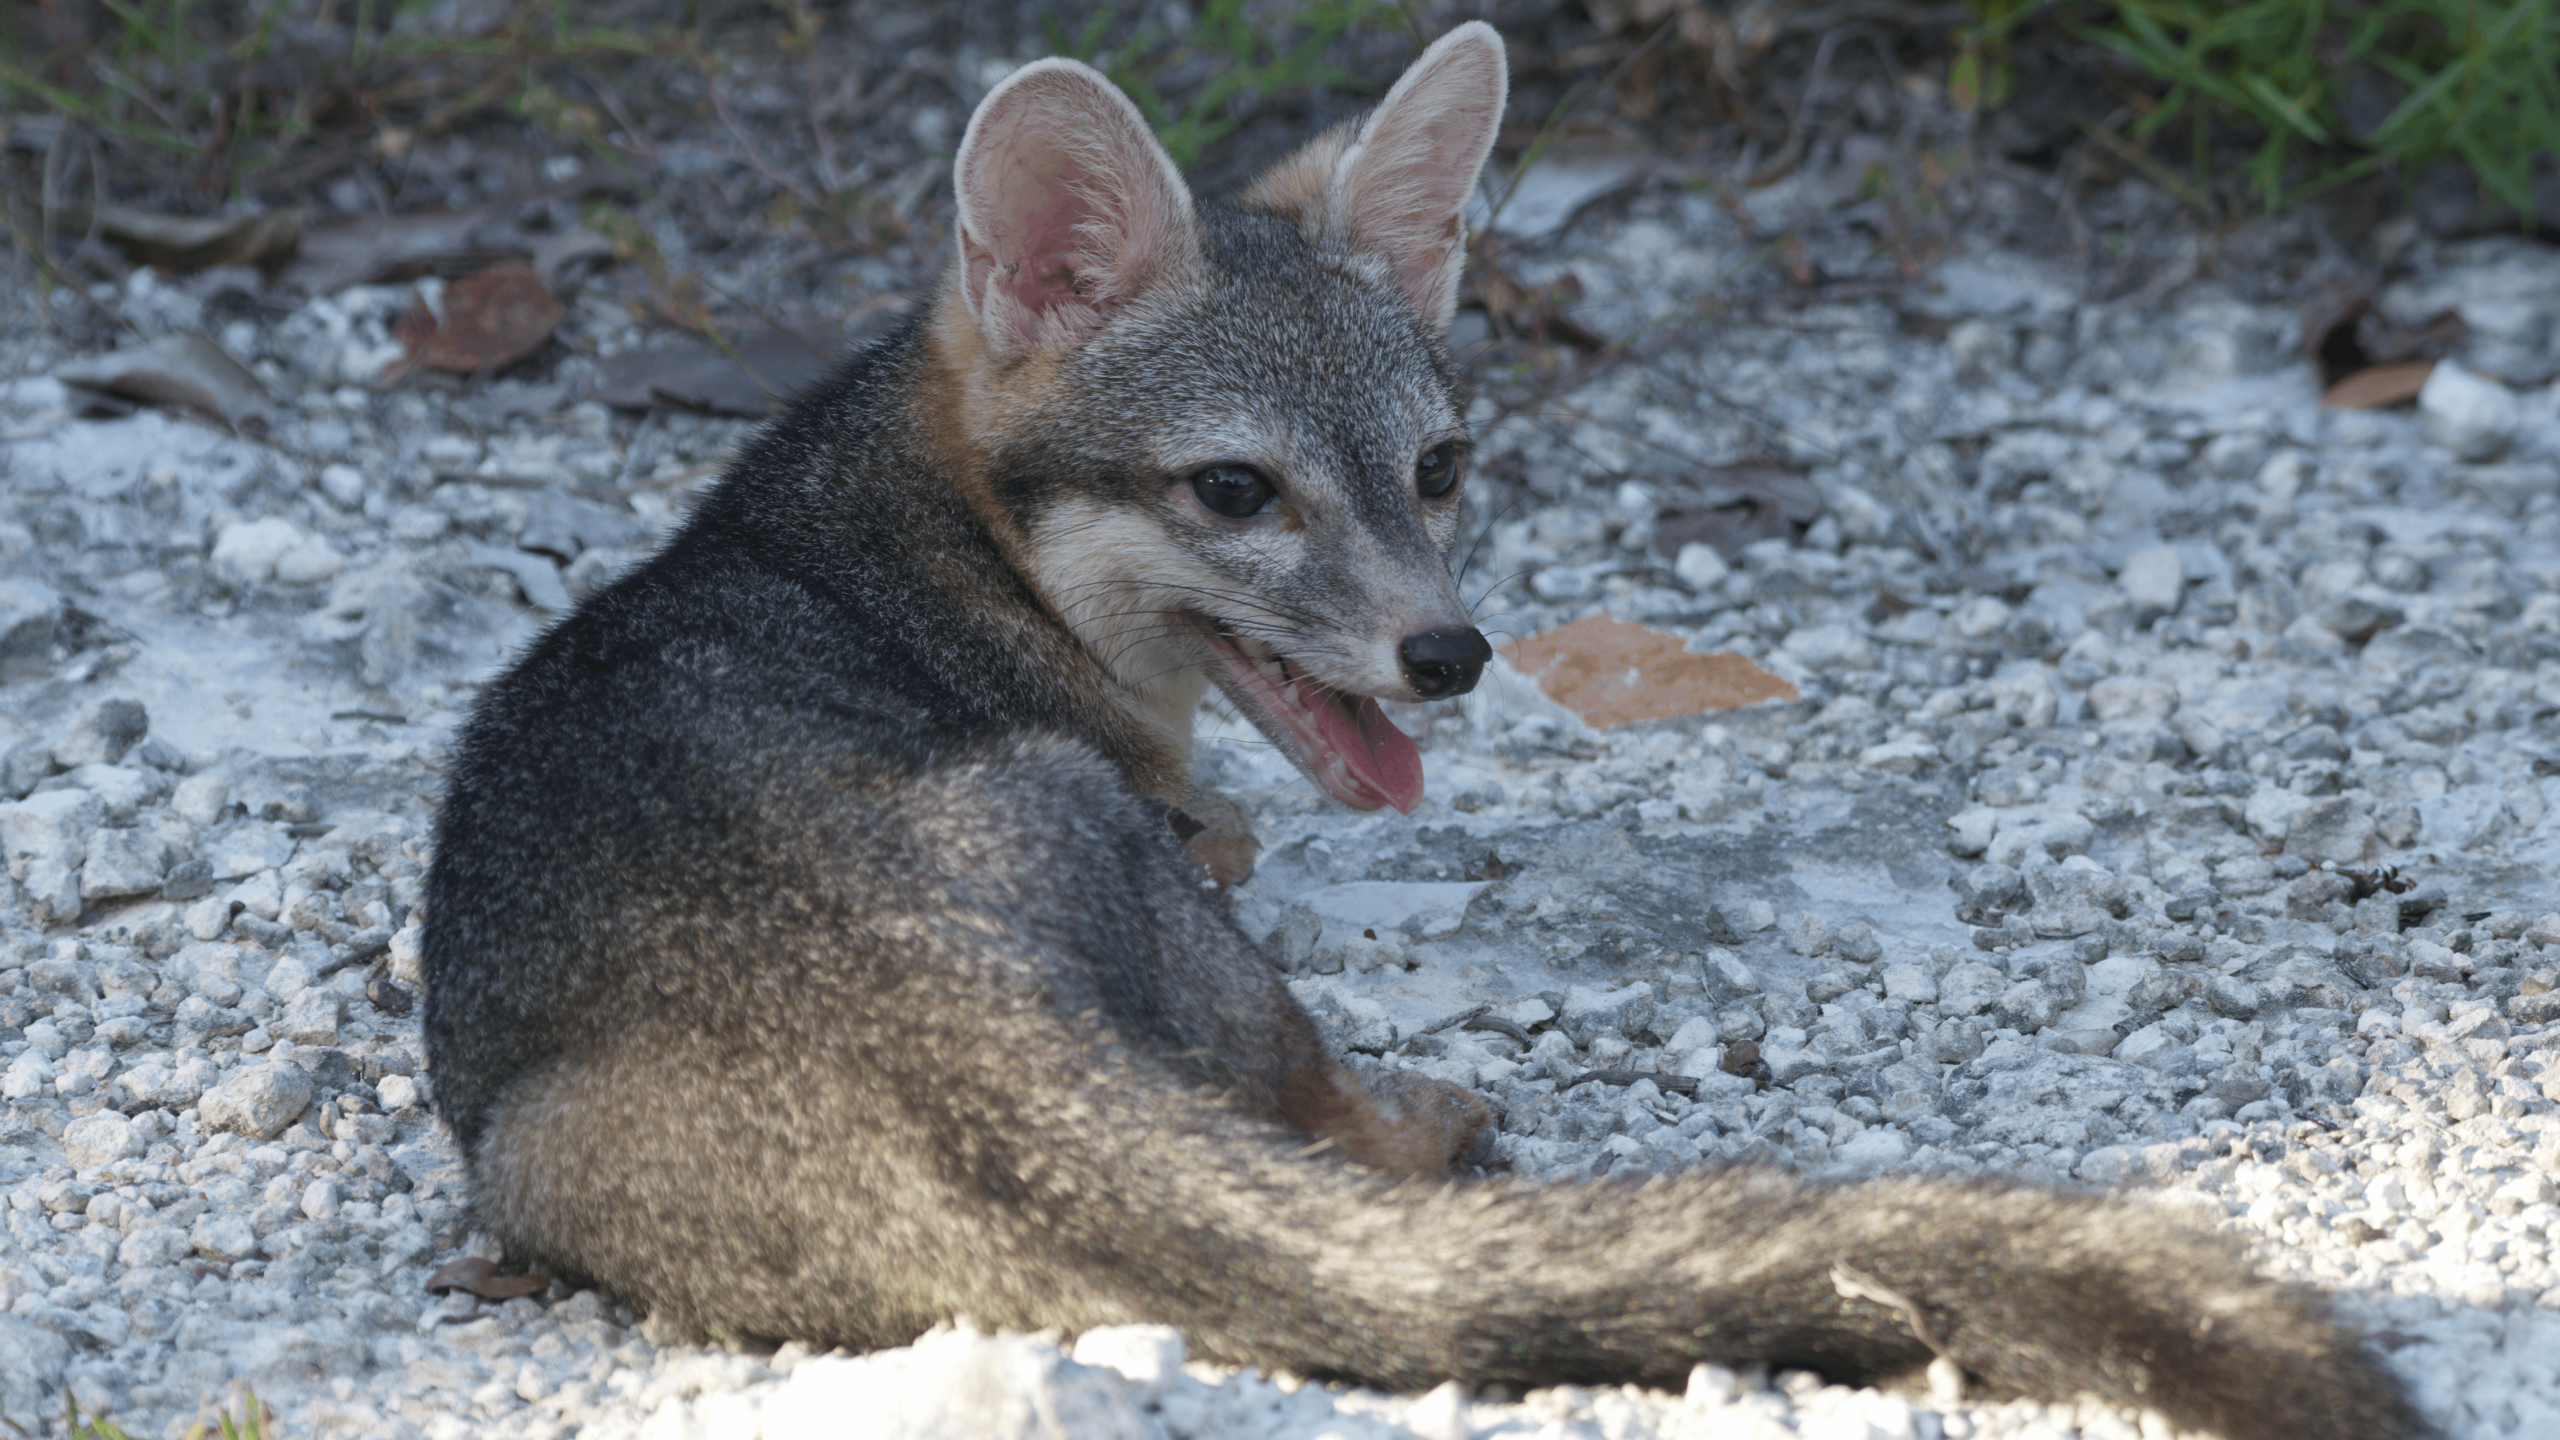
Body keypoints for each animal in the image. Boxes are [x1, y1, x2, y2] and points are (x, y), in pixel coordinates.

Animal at [420, 23, 2426, 1439]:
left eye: (1442, 468)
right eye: (1237, 491)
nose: (1451, 654)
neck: (911, 538)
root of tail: (942, 1028)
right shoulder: (1190, 826)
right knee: (1327, 1119)